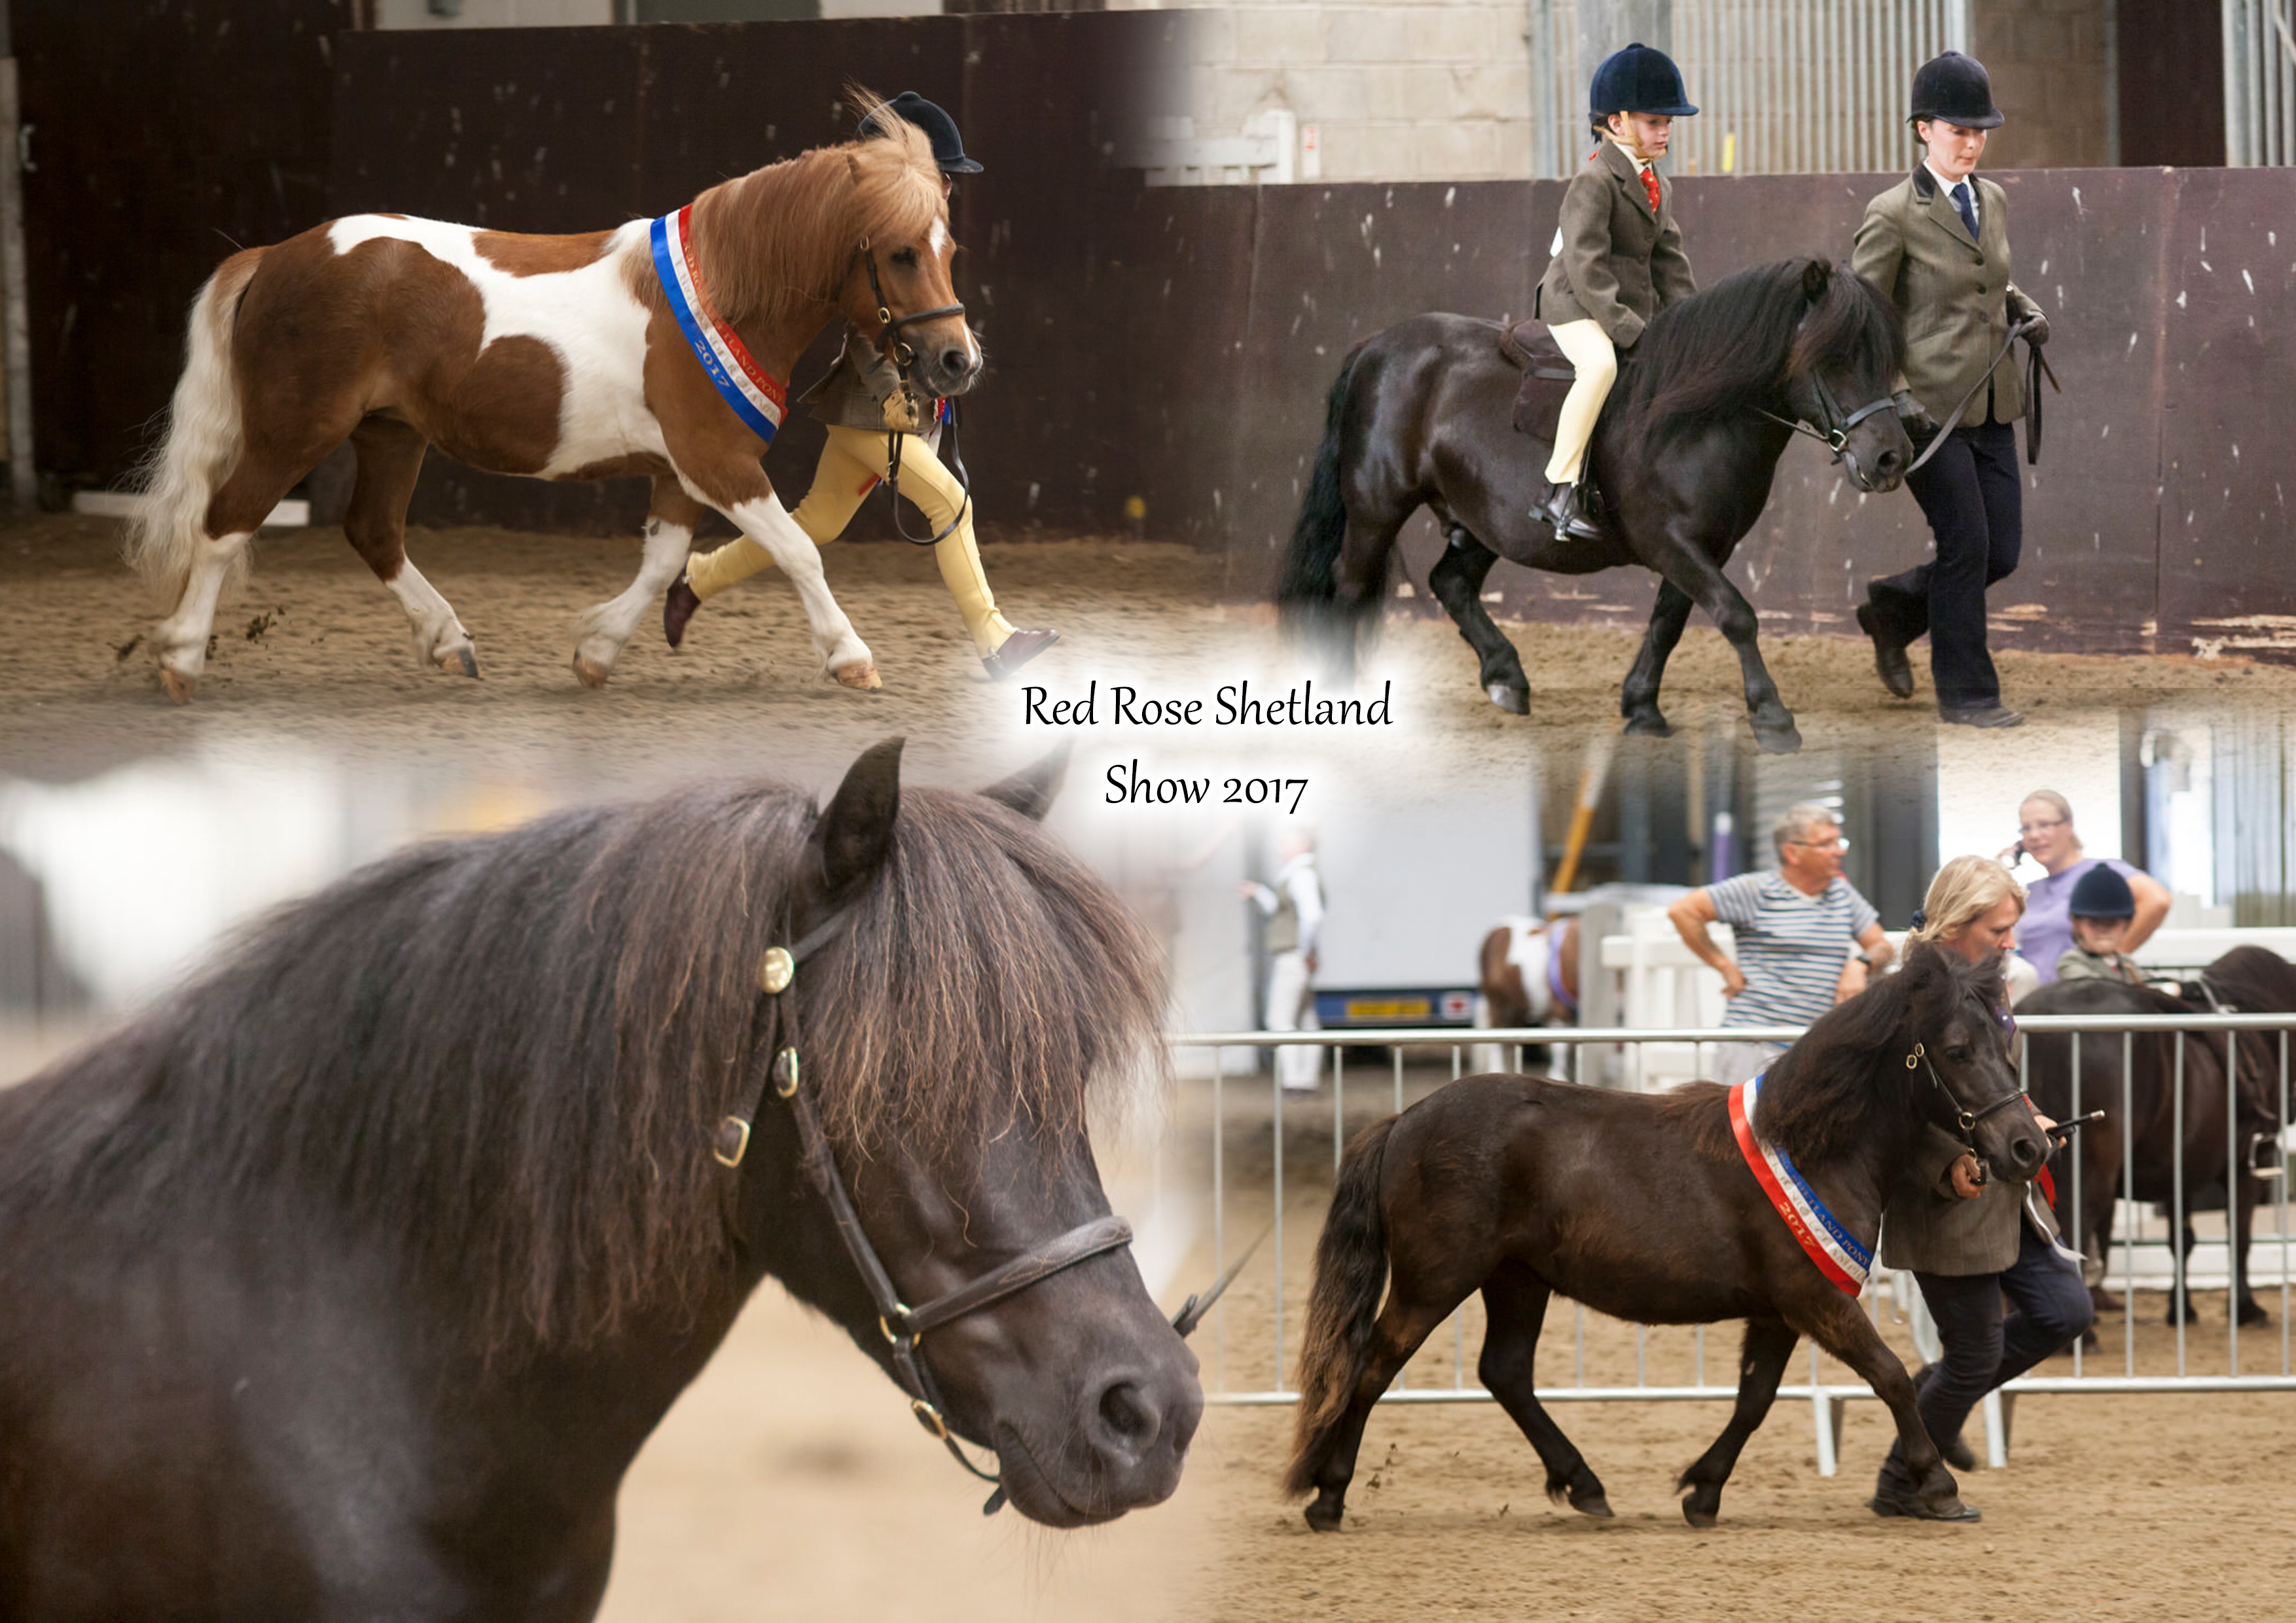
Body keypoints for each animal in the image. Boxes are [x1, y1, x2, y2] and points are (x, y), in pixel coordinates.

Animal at [132, 88, 978, 698]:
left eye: (949, 248)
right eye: (901, 253)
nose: (957, 362)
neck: (724, 296)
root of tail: (274, 256)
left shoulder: (681, 471)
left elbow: (663, 562)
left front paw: (596, 651)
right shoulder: (717, 462)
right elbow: (798, 550)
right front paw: (851, 657)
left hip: (390, 432)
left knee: (373, 531)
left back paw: (450, 643)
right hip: (296, 430)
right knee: (226, 521)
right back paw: (180, 656)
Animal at [1285, 258, 1910, 757]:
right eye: (1834, 358)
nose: (1891, 457)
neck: (1695, 418)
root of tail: (1376, 345)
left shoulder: (1705, 546)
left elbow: (1668, 625)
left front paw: (1643, 709)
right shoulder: (1670, 542)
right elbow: (1737, 616)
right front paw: (1774, 718)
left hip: (1485, 521)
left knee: (1451, 582)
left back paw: (1506, 676)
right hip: (1377, 509)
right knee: (1349, 587)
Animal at [1295, 946, 2048, 1533]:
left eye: (2005, 1043)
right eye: (1957, 1050)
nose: (2029, 1146)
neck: (1815, 1147)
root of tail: (1403, 1120)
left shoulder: (1778, 1312)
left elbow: (1754, 1399)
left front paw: (1702, 1491)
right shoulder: (1816, 1301)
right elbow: (1890, 1376)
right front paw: (1940, 1487)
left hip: (1516, 1279)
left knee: (1503, 1372)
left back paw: (1585, 1486)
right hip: (1436, 1280)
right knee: (1373, 1365)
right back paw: (1328, 1496)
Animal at [2030, 946, 2296, 1331]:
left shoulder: (2179, 1167)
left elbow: (2181, 1239)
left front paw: (2181, 1309)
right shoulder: (2247, 1163)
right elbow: (2240, 1234)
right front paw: (2245, 1308)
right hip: (2089, 1172)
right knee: (2075, 1222)